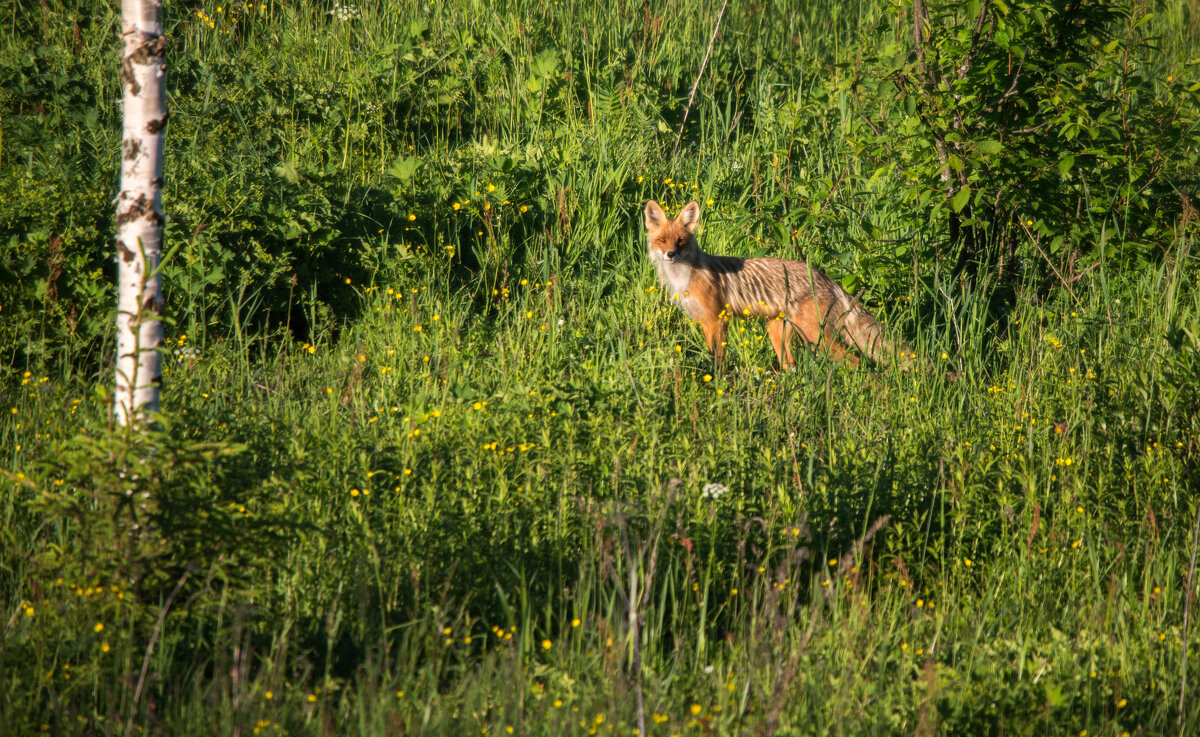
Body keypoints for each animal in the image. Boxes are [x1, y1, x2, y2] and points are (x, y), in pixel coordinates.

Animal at [648, 200, 907, 369]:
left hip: (817, 338)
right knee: (790, 367)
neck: (684, 277)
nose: (671, 254)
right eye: (661, 240)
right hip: (779, 334)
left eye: (681, 240)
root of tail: (825, 278)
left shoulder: (717, 319)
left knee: (857, 362)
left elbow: (719, 361)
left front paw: (717, 385)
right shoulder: (704, 322)